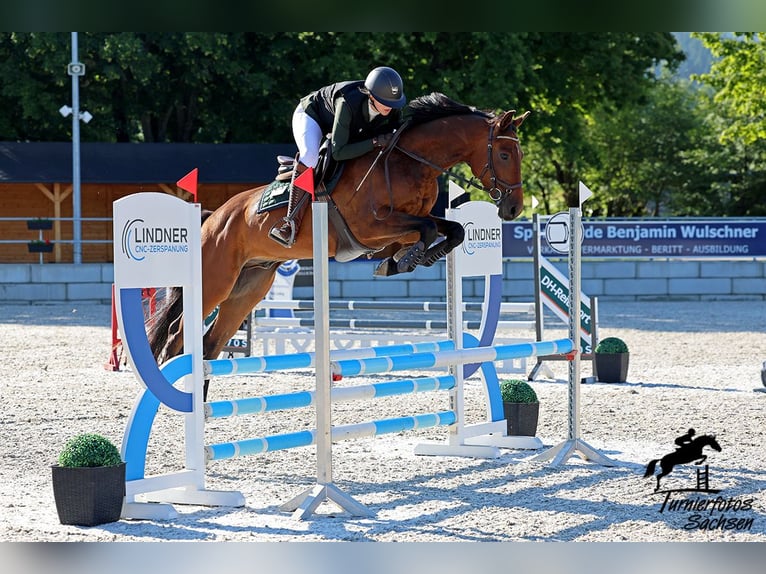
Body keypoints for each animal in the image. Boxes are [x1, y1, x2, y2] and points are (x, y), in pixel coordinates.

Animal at [147, 92, 530, 397]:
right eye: (505, 155)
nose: (514, 209)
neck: (408, 161)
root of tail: (211, 219)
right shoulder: (371, 227)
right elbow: (423, 230)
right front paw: (403, 260)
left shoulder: (400, 225)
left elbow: (451, 231)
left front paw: (407, 258)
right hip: (215, 281)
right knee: (178, 334)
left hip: (248, 287)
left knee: (210, 344)